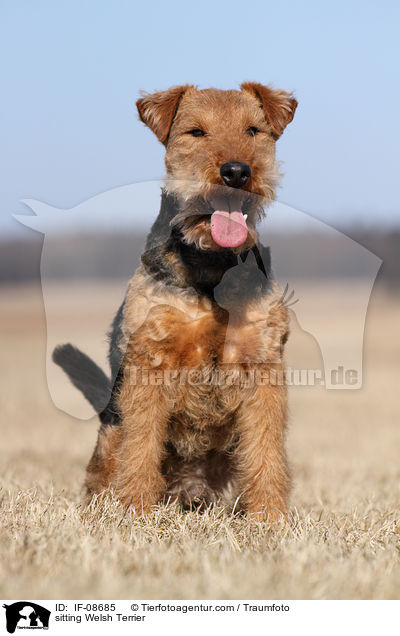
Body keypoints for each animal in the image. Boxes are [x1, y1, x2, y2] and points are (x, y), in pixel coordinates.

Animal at [54, 83, 296, 520]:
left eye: (253, 130)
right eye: (195, 132)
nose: (236, 171)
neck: (211, 266)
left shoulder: (262, 365)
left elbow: (267, 451)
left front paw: (270, 519)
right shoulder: (150, 361)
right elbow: (141, 447)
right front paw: (133, 510)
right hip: (112, 426)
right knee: (106, 468)